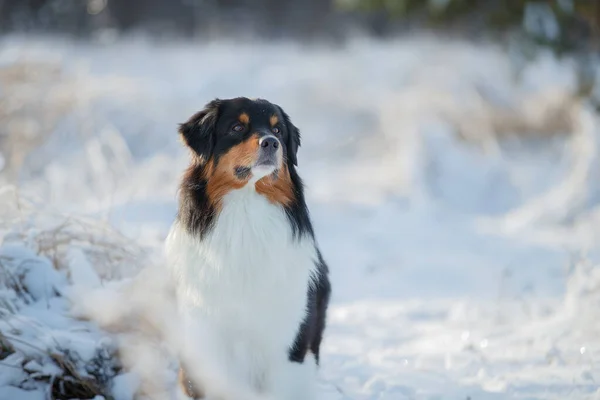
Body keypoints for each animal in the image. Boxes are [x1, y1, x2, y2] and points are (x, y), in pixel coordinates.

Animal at [166, 97, 330, 400]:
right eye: (237, 127)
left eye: (277, 131)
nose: (271, 143)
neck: (246, 208)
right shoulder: (205, 337)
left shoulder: (287, 343)